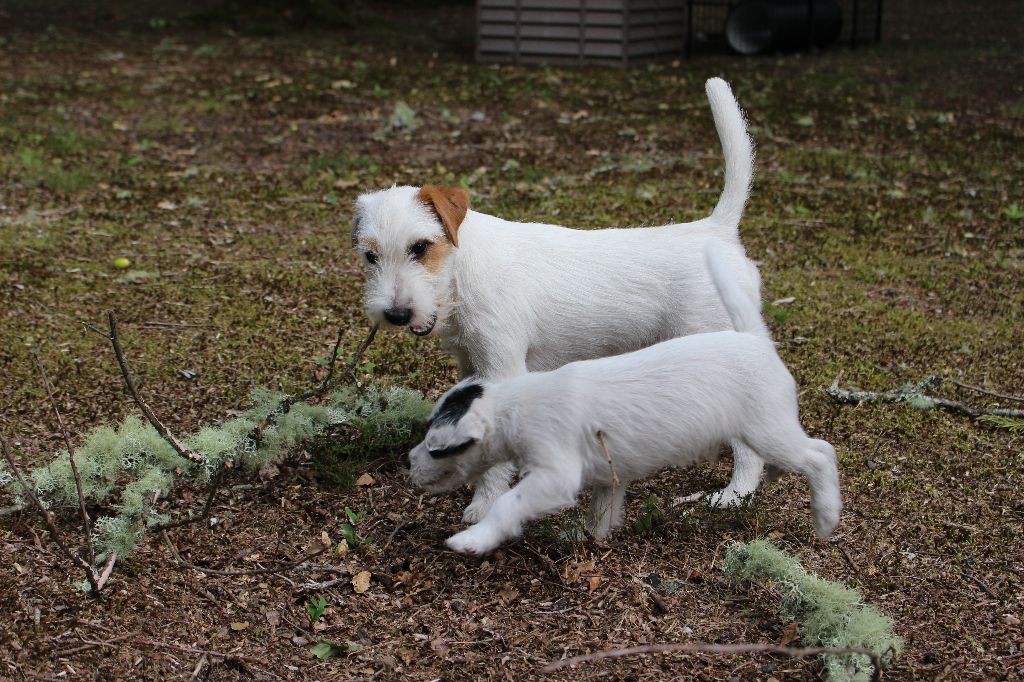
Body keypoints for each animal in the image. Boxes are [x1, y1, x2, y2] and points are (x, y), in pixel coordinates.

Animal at [350, 75, 761, 520]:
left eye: (421, 247)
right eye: (370, 256)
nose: (396, 314)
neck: (462, 271)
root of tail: (716, 231)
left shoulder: (503, 371)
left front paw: (485, 504)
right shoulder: (472, 366)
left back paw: (735, 495)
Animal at [405, 241, 839, 557]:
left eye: (439, 448)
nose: (408, 462)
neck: (520, 403)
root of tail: (752, 340)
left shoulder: (555, 476)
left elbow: (507, 504)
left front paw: (473, 539)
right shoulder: (608, 476)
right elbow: (602, 514)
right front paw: (585, 538)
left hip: (768, 431)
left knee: (820, 454)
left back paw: (826, 516)